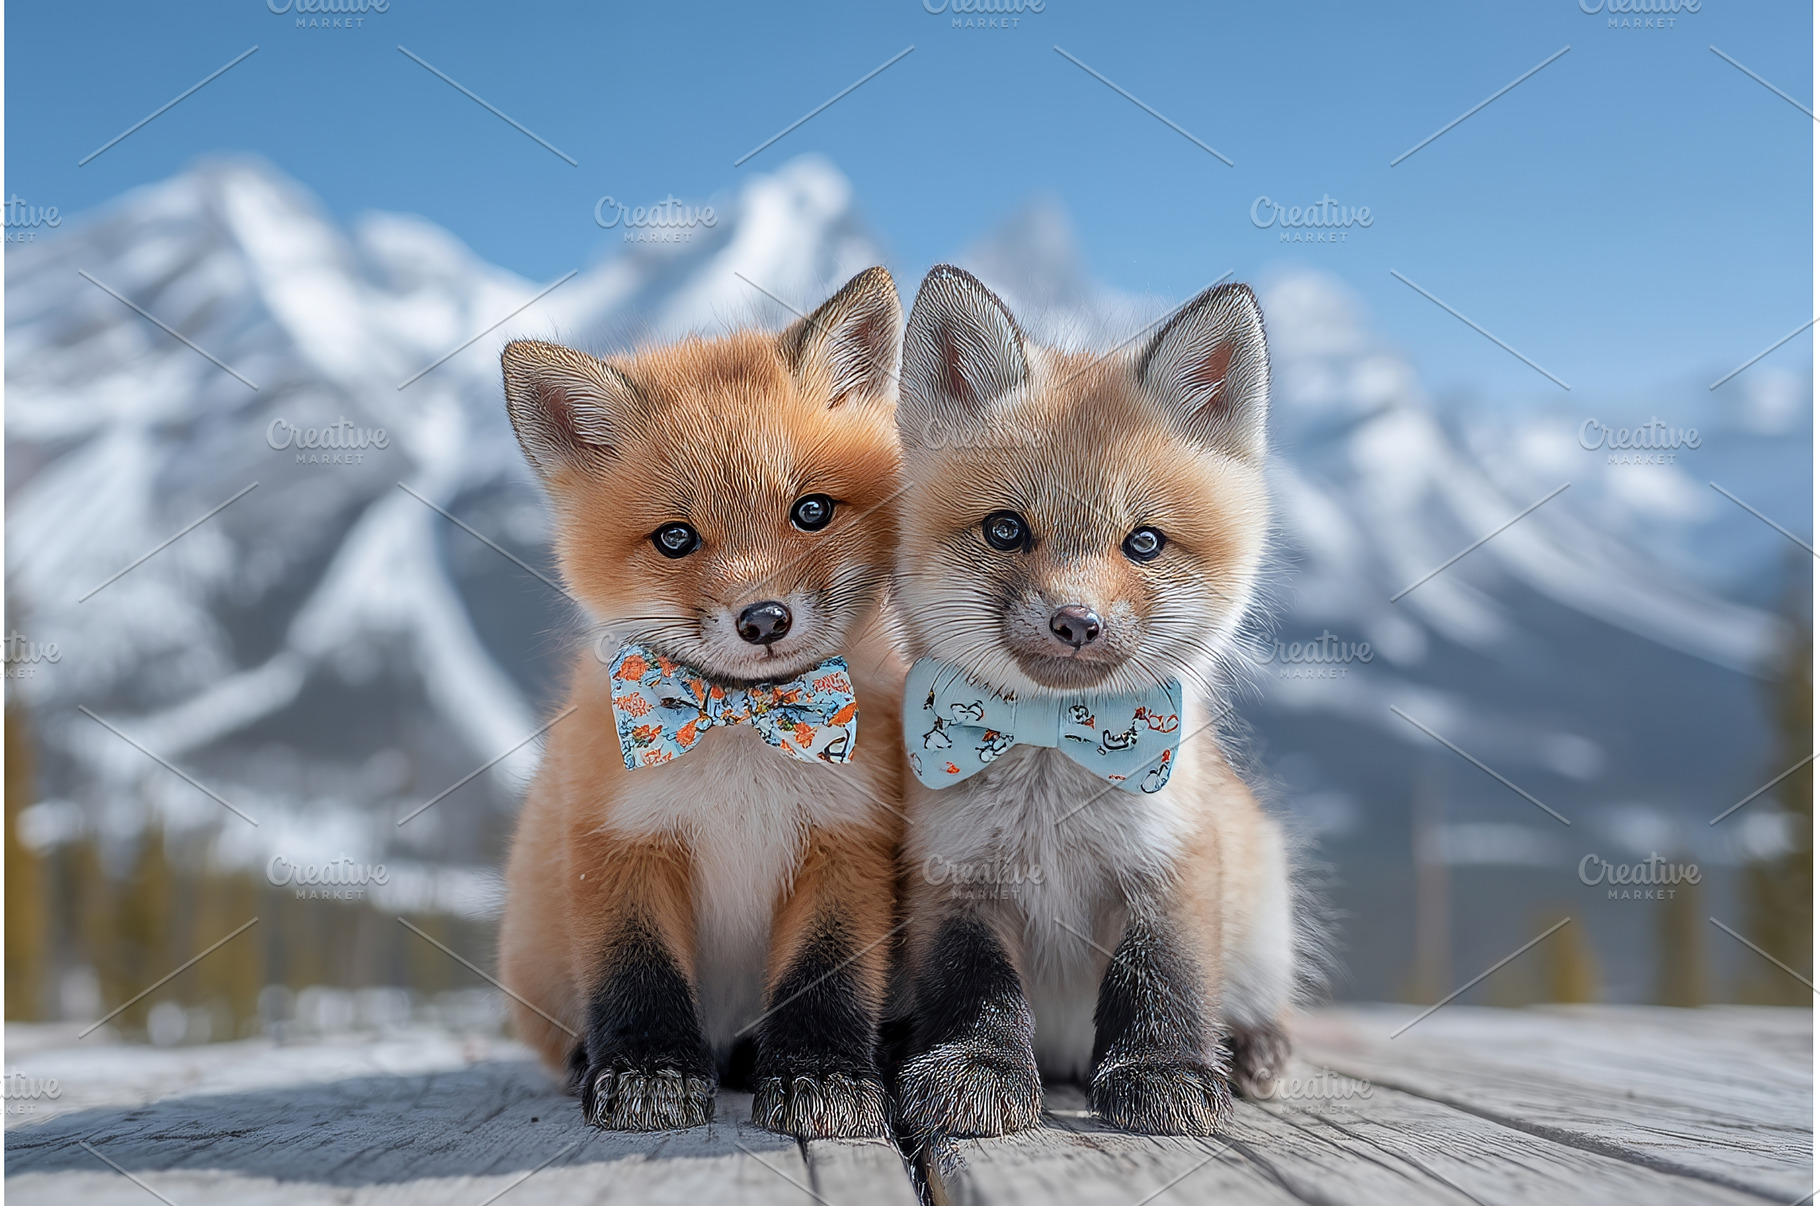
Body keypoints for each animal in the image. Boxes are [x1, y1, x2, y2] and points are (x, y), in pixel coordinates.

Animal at [497, 266, 906, 1138]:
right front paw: (647, 1072)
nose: (764, 619)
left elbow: (826, 981)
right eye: (676, 539)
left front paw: (822, 1075)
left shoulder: (848, 842)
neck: (743, 732)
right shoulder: (618, 844)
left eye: (812, 510)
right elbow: (638, 977)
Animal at [888, 265, 1297, 1138]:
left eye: (1143, 542)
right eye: (1005, 530)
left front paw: (1165, 1071)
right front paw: (978, 1068)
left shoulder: (1169, 864)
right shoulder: (954, 878)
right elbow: (976, 988)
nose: (1076, 621)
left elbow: (1163, 977)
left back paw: (1255, 1046)